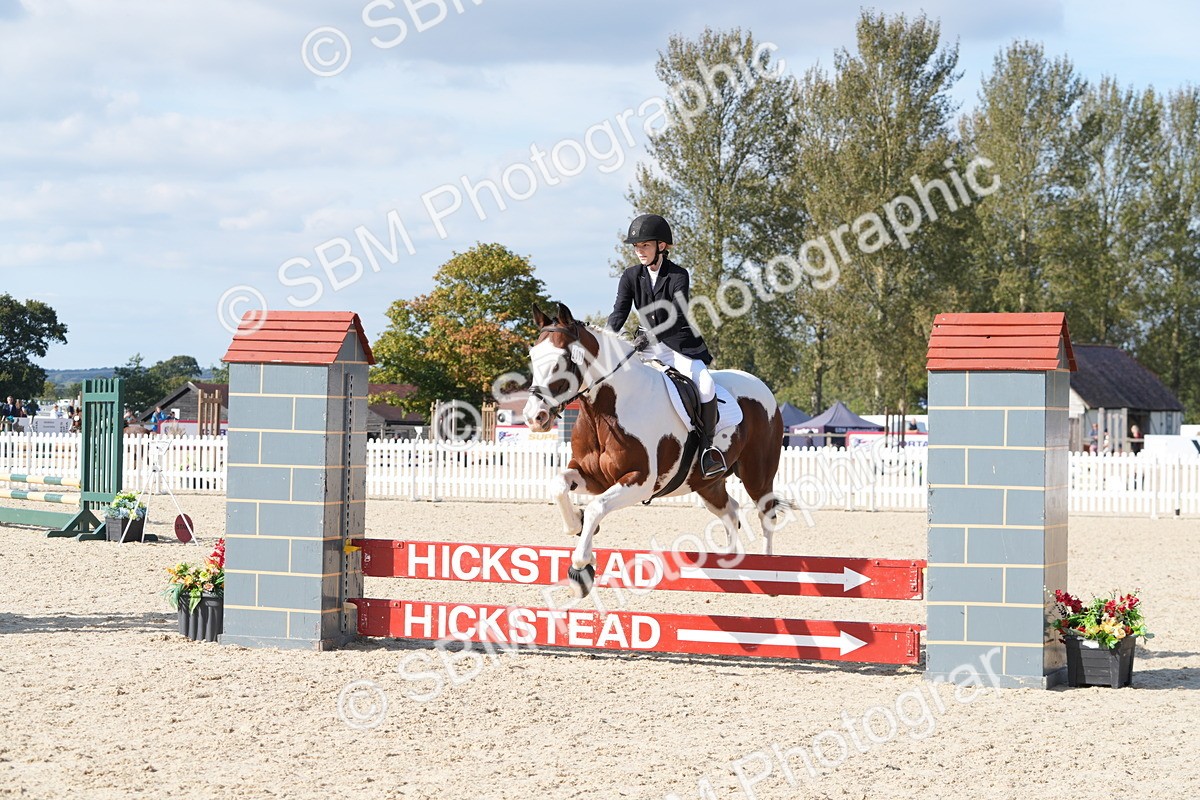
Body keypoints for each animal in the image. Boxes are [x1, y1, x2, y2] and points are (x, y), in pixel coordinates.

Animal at [524, 304, 786, 598]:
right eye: (532, 356)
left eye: (562, 360)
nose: (534, 417)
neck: (606, 408)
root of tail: (761, 386)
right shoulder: (593, 477)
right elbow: (558, 486)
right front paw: (576, 524)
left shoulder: (639, 481)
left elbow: (596, 508)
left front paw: (581, 568)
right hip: (707, 483)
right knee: (730, 511)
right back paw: (732, 563)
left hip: (757, 475)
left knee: (766, 515)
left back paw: (768, 571)